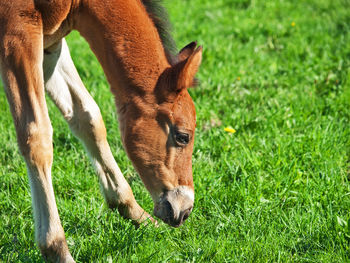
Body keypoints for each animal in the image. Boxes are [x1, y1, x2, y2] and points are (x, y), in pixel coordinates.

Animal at [0, 0, 202, 262]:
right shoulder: (17, 35)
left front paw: (135, 213)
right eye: (182, 137)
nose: (184, 210)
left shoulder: (50, 44)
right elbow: (37, 137)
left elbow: (88, 116)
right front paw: (56, 247)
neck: (79, 6)